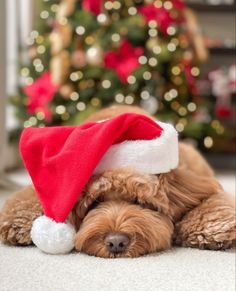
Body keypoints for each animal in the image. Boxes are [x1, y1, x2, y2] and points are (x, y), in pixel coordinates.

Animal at [0, 106, 236, 258]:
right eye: (94, 204)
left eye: (140, 202)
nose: (116, 242)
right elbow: (28, 199)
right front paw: (17, 223)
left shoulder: (200, 183)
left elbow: (212, 202)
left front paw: (214, 228)